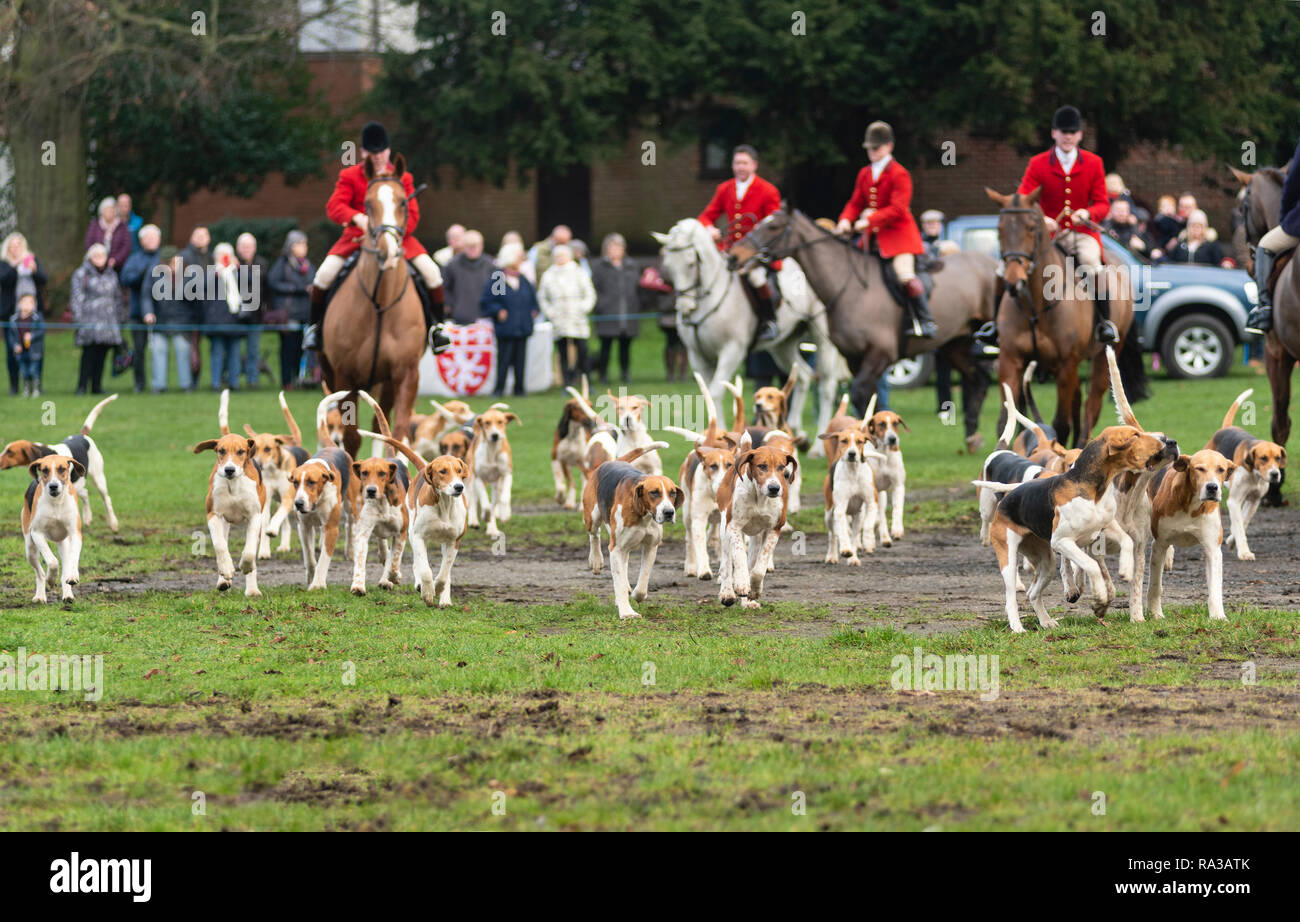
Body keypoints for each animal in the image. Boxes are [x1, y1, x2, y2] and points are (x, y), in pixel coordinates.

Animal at [319, 158, 426, 462]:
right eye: (367, 204)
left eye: (403, 202)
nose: (387, 252)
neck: (380, 304)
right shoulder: (346, 377)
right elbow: (352, 437)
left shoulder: (406, 373)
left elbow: (397, 433)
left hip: (387, 383)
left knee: (382, 423)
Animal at [650, 219, 852, 457]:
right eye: (669, 266)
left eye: (691, 264)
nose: (685, 308)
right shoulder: (698, 356)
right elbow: (708, 394)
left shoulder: (732, 350)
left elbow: (716, 391)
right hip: (783, 345)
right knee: (803, 375)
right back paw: (797, 432)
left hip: (823, 338)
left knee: (826, 386)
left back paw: (818, 448)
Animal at [733, 206, 993, 444]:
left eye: (773, 227)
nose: (735, 255)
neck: (851, 289)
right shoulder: (855, 358)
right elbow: (869, 401)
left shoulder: (879, 355)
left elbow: (860, 394)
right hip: (956, 343)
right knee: (978, 378)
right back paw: (972, 435)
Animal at [982, 187, 1149, 444]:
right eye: (999, 229)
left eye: (1031, 227)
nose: (1013, 282)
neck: (1035, 306)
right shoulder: (1010, 359)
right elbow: (1006, 420)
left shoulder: (1065, 365)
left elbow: (1060, 424)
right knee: (1078, 401)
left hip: (1103, 359)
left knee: (1092, 405)